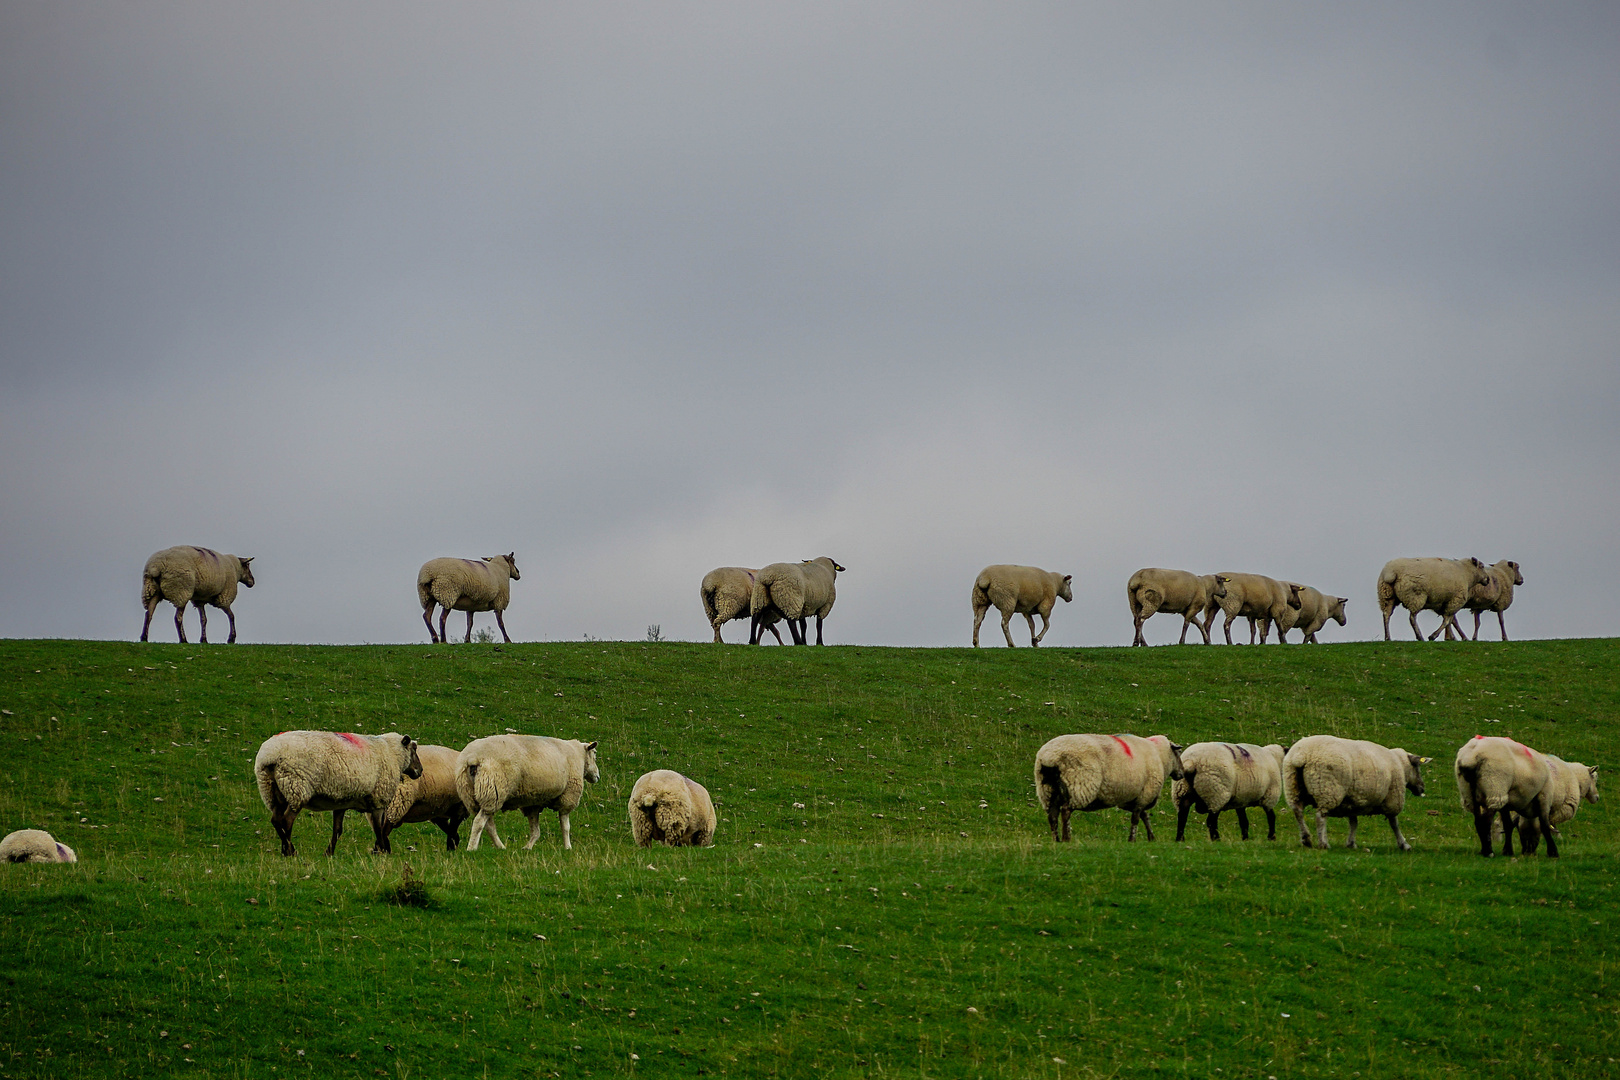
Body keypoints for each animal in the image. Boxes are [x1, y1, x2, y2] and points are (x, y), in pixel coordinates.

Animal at [252, 731, 424, 854]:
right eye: (414, 749)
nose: (420, 771)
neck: (393, 754)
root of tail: (271, 755)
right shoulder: (378, 800)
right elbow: (379, 829)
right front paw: (382, 851)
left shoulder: (341, 803)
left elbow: (337, 830)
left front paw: (329, 852)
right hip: (297, 787)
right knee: (286, 821)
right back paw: (290, 850)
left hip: (273, 791)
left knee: (276, 819)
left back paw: (285, 849)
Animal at [456, 735, 602, 854]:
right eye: (594, 755)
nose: (598, 777)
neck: (579, 755)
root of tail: (472, 758)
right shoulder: (568, 796)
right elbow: (565, 826)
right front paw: (568, 847)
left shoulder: (533, 803)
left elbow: (535, 831)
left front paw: (527, 848)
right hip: (493, 791)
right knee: (479, 822)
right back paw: (472, 848)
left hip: (472, 795)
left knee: (489, 826)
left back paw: (500, 847)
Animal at [1030, 735, 1185, 841]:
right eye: (1178, 754)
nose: (1182, 773)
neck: (1160, 756)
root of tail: (1050, 757)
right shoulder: (1145, 793)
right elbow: (1136, 818)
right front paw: (1132, 839)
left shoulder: (1134, 797)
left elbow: (1144, 816)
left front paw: (1151, 837)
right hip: (1078, 785)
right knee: (1066, 812)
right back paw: (1066, 838)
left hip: (1047, 790)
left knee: (1052, 816)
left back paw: (1056, 840)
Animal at [1276, 735, 1432, 854]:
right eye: (1417, 767)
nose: (1422, 788)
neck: (1401, 766)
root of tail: (1301, 756)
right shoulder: (1392, 798)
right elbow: (1394, 823)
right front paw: (1404, 844)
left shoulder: (1352, 801)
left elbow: (1354, 823)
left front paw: (1351, 843)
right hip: (1327, 789)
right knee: (1320, 817)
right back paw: (1323, 843)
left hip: (1292, 785)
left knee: (1298, 812)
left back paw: (1306, 839)